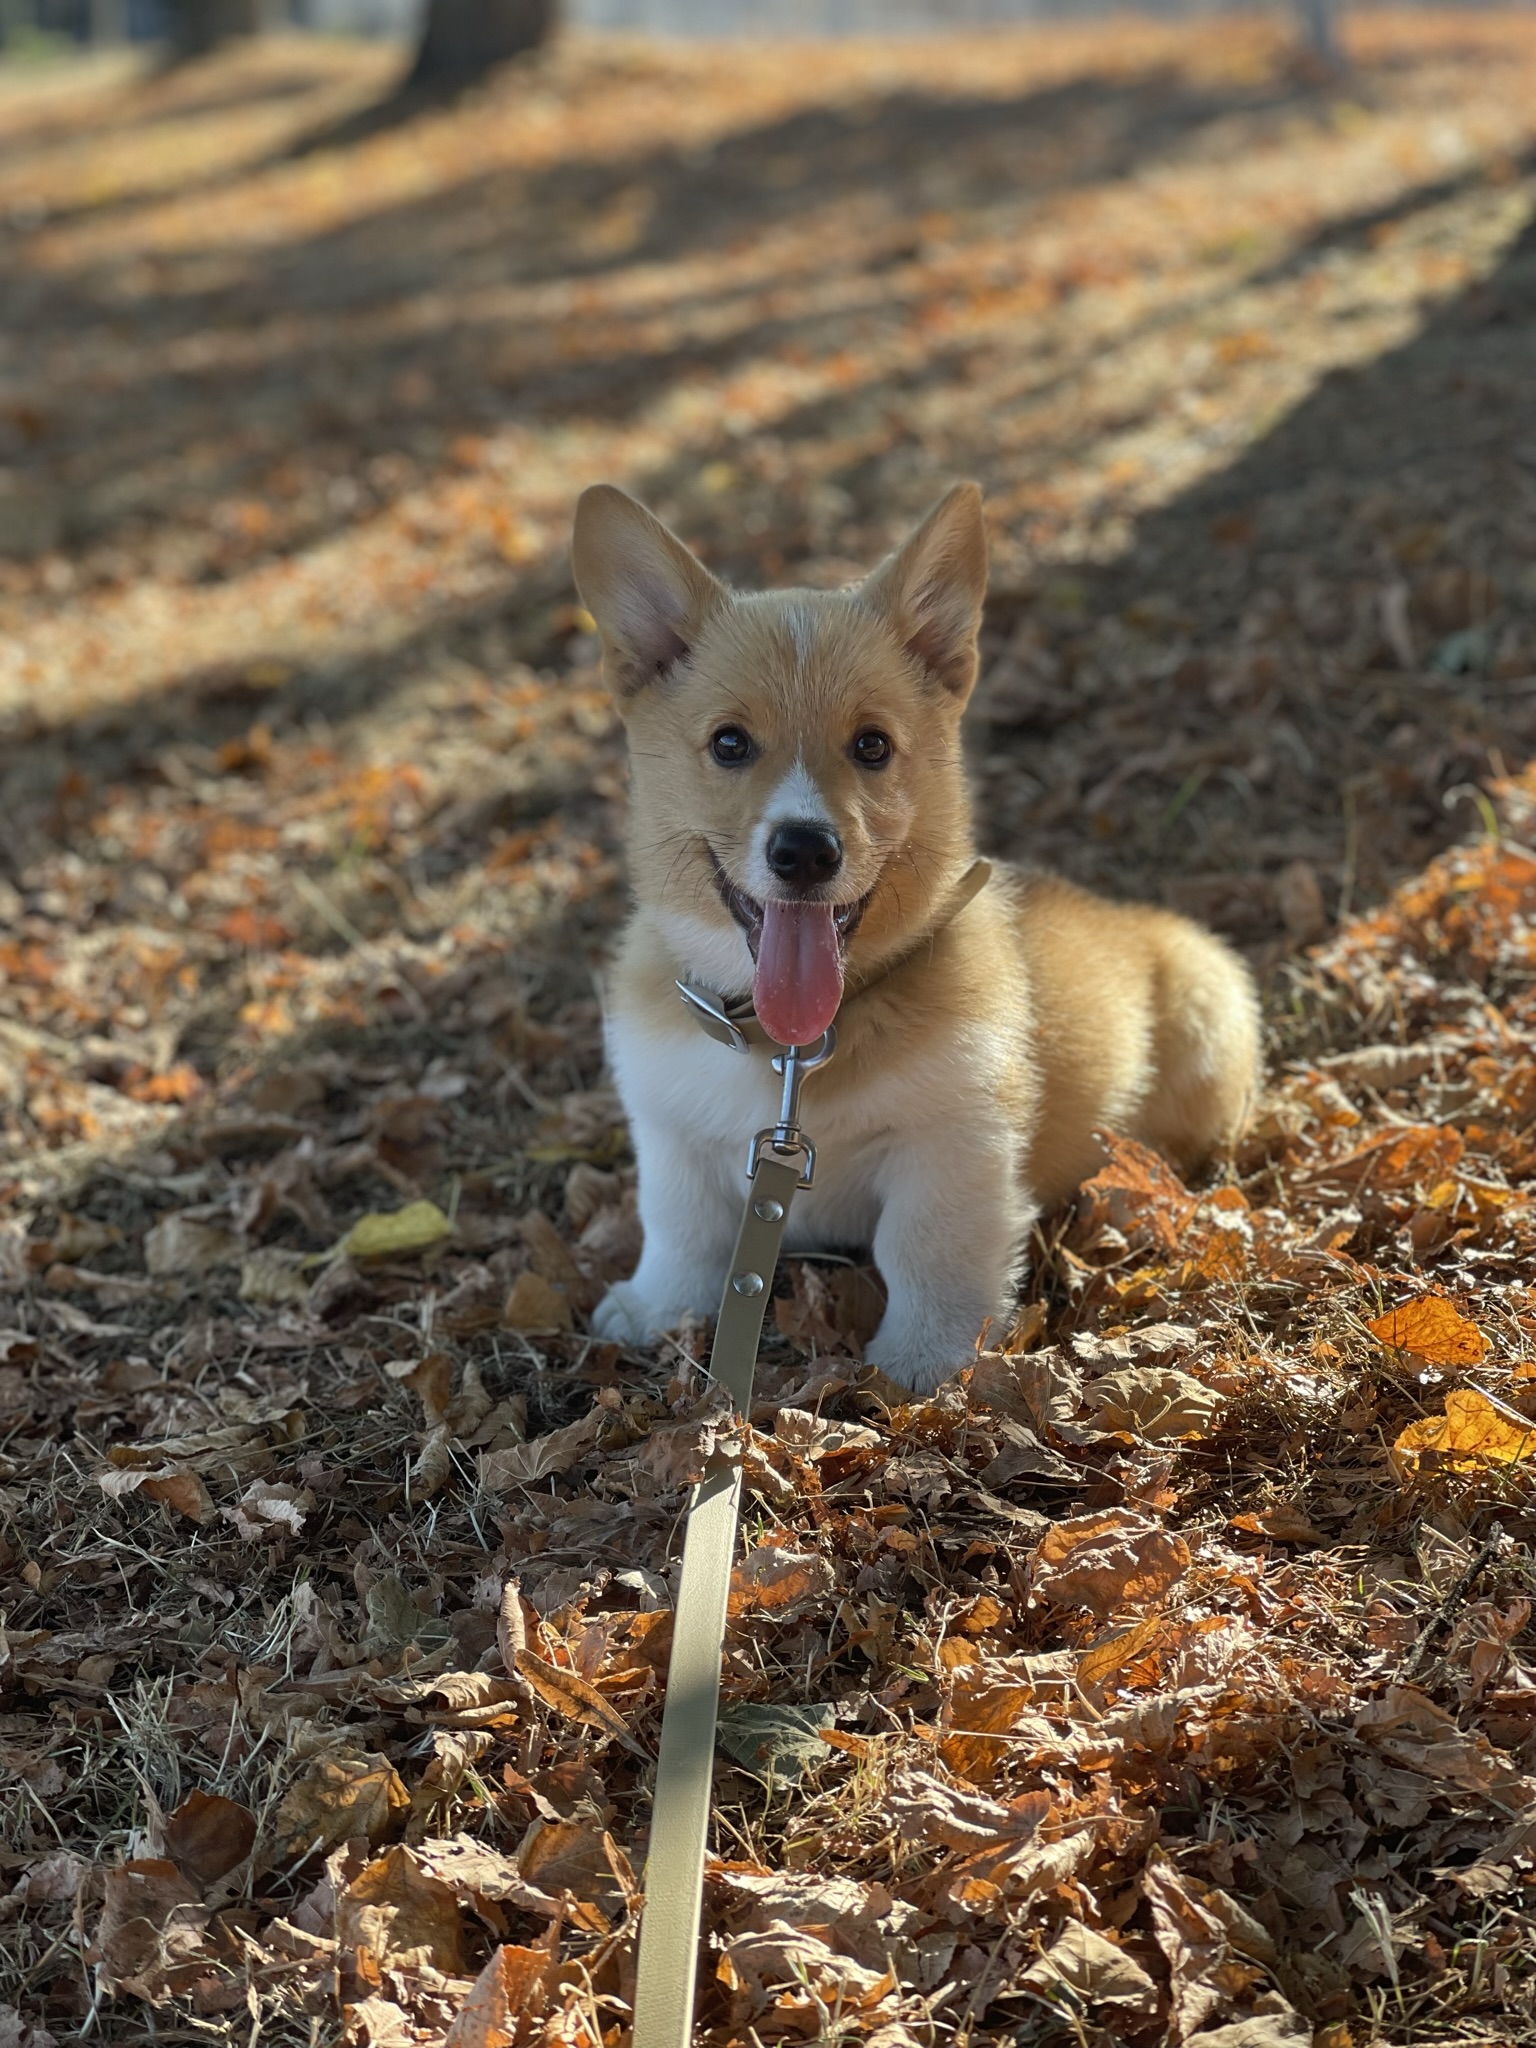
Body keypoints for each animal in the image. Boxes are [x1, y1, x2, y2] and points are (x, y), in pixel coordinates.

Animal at [571, 480, 1260, 1392]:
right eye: (729, 743)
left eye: (872, 745)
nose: (805, 849)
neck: (795, 1048)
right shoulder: (674, 1131)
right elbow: (682, 1228)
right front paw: (655, 1310)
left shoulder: (954, 1145)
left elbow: (924, 1253)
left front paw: (923, 1368)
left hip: (1205, 1016)